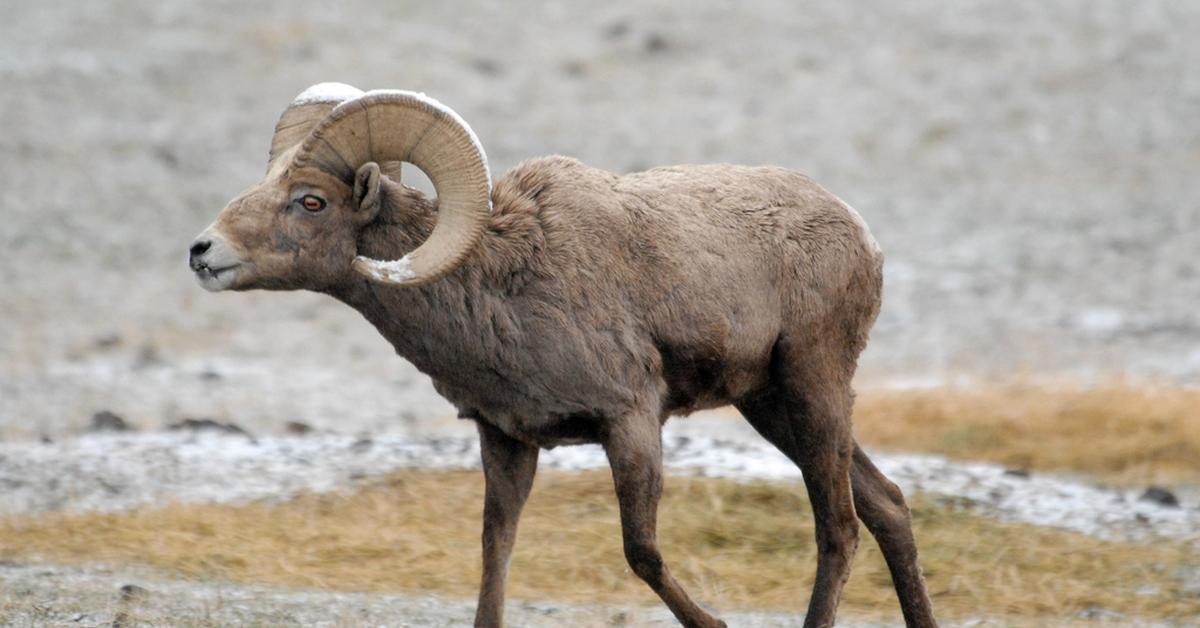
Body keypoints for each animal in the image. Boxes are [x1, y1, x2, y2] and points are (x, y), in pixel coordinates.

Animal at [187, 83, 936, 628]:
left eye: (310, 201)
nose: (202, 251)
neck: (502, 284)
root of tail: (861, 236)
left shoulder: (630, 424)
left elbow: (642, 553)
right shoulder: (507, 441)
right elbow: (495, 558)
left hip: (813, 389)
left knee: (840, 529)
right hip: (772, 407)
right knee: (888, 507)